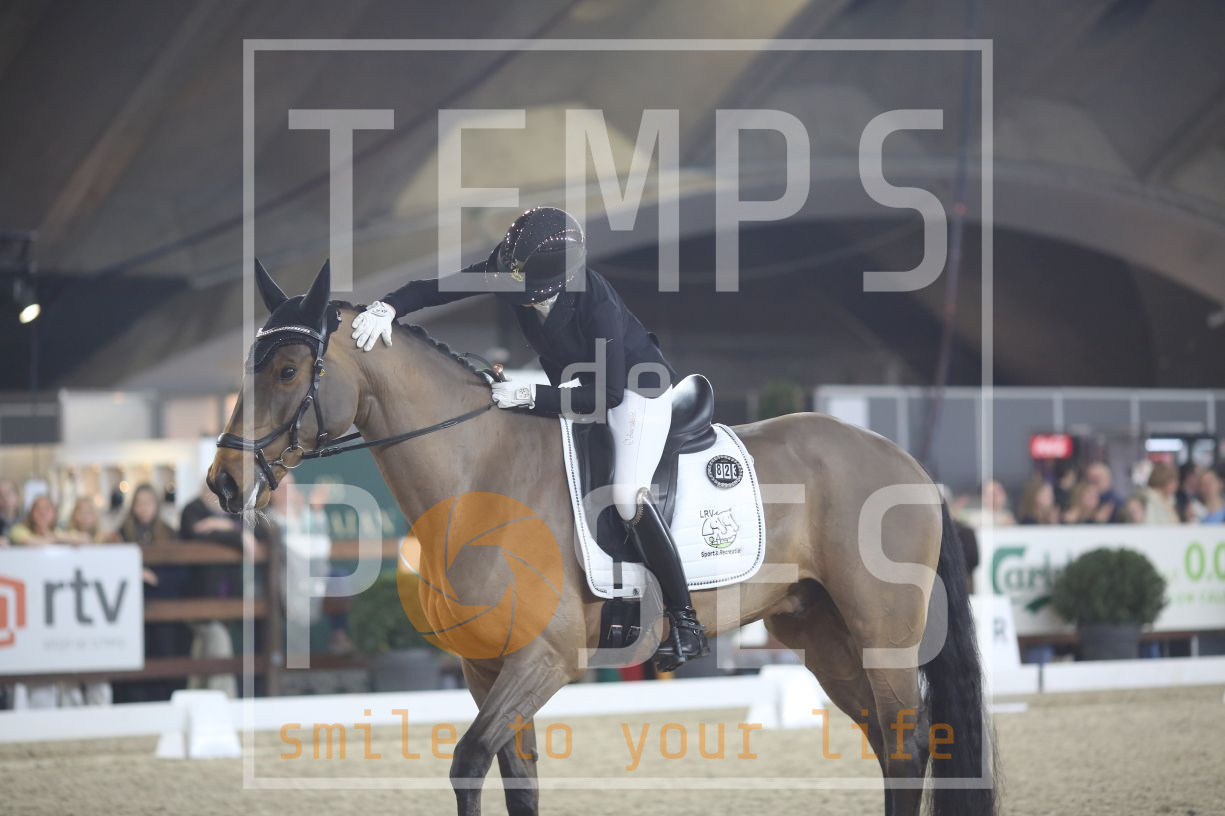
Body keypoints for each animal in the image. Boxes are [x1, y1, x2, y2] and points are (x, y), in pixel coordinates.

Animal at [208, 260, 997, 816]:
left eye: (287, 370)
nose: (222, 483)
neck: (480, 473)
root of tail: (904, 461)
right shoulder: (485, 670)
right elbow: (516, 782)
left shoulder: (544, 660)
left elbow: (468, 762)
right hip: (822, 635)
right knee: (892, 746)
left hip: (883, 637)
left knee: (906, 744)